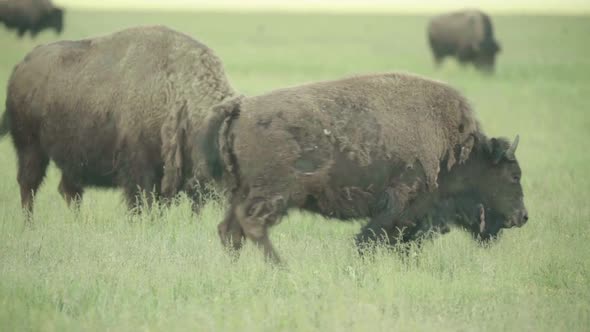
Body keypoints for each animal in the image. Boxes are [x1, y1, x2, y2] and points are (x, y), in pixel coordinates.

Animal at [2, 26, 238, 218]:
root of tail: (21, 66)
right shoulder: (139, 171)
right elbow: (141, 203)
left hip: (68, 159)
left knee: (69, 190)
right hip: (30, 147)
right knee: (29, 185)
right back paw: (29, 225)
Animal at [201, 74, 528, 264]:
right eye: (513, 176)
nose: (523, 217)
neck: (454, 147)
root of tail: (241, 107)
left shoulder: (413, 218)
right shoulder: (399, 205)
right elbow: (370, 240)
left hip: (242, 192)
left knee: (230, 230)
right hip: (273, 194)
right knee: (252, 226)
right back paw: (281, 267)